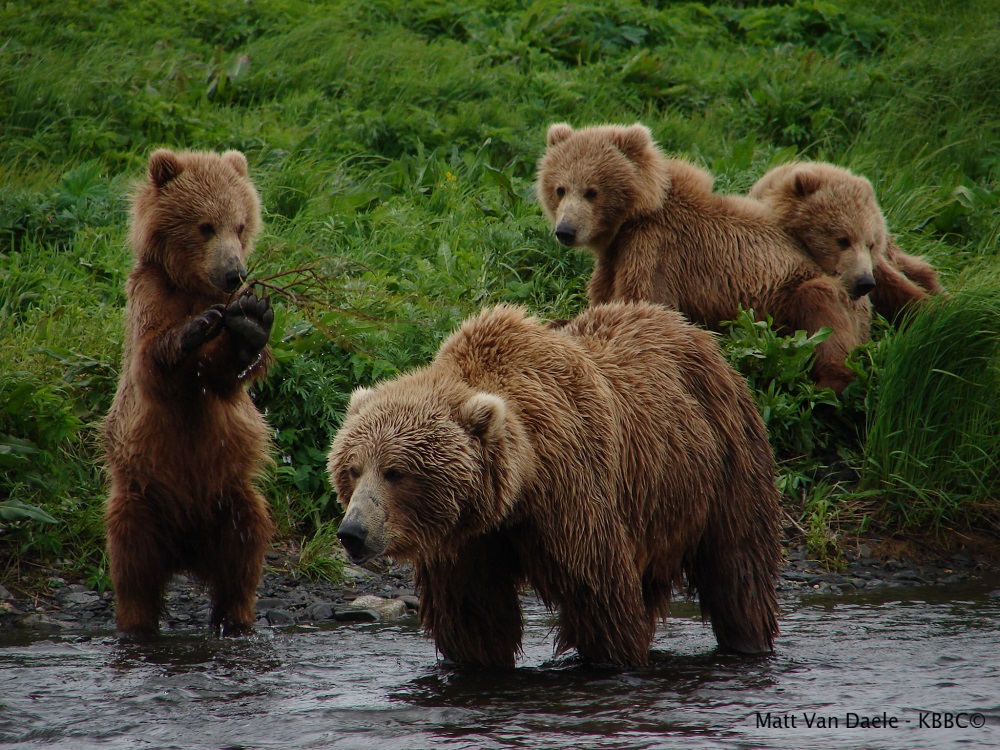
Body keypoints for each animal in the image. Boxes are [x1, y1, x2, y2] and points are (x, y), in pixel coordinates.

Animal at [103, 148, 276, 640]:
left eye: (240, 224)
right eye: (205, 225)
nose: (234, 272)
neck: (193, 285)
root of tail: (186, 551)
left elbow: (225, 376)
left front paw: (251, 321)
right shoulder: (150, 297)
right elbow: (153, 362)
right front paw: (193, 330)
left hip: (233, 499)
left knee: (244, 557)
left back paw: (235, 619)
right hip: (140, 498)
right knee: (133, 565)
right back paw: (137, 624)